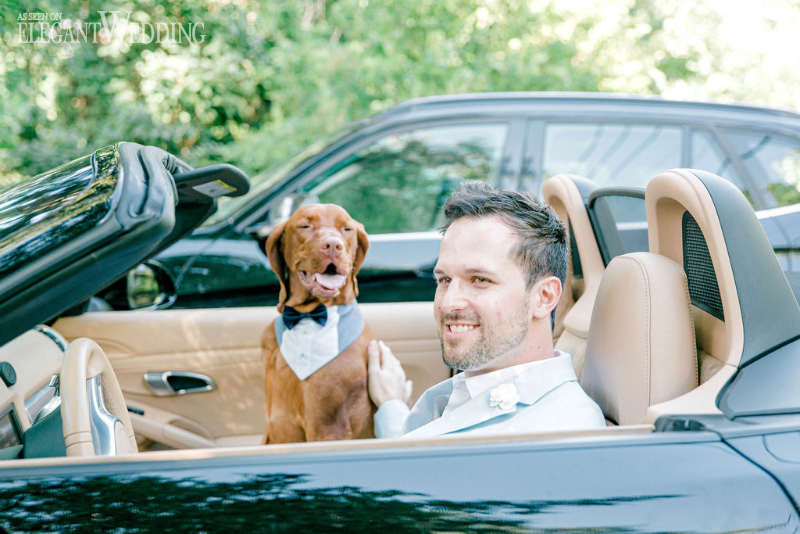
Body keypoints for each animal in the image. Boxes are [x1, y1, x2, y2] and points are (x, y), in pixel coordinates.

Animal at [262, 205, 376, 444]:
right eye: (305, 226)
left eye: (347, 229)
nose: (333, 245)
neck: (307, 315)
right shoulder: (277, 423)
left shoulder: (328, 427)